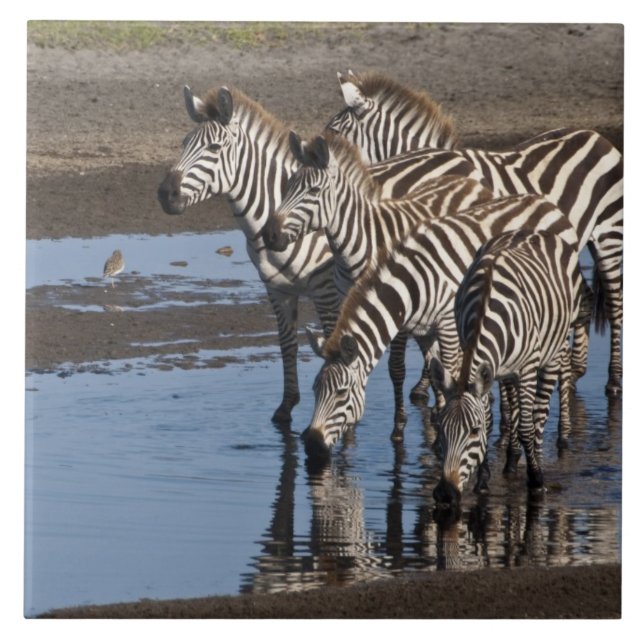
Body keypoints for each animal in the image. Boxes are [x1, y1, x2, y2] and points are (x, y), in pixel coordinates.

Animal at [302, 194, 579, 461]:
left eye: (341, 393)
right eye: (314, 389)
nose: (312, 446)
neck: (411, 284)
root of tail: (549, 204)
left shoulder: (447, 325)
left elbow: (449, 370)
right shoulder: (425, 331)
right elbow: (437, 377)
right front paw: (438, 428)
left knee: (564, 362)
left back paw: (564, 434)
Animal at [326, 70, 623, 396]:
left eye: (334, 132)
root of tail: (594, 135)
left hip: (610, 234)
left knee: (615, 304)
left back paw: (612, 380)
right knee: (584, 297)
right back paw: (578, 368)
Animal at [430, 229, 585, 507]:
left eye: (473, 431)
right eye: (441, 429)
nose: (445, 494)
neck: (484, 306)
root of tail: (533, 231)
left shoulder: (527, 366)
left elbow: (525, 426)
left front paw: (536, 480)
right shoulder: (483, 363)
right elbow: (492, 419)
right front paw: (482, 481)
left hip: (554, 347)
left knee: (538, 413)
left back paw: (537, 458)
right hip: (505, 369)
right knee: (513, 407)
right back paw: (511, 460)